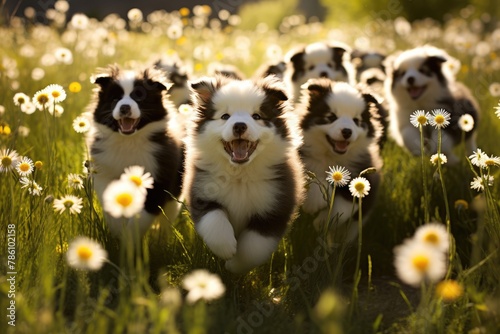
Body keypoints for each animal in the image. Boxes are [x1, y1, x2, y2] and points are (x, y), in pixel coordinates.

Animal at [86, 64, 186, 237]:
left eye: (139, 97)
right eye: (115, 99)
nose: (125, 108)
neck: (129, 141)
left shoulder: (158, 177)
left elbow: (143, 215)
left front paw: (130, 238)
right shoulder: (104, 173)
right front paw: (118, 233)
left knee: (167, 216)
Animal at [183, 74, 302, 272]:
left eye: (256, 116)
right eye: (225, 116)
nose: (239, 126)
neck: (240, 174)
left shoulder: (275, 207)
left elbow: (253, 247)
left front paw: (233, 266)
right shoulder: (202, 191)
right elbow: (214, 219)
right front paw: (226, 248)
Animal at [296, 79, 382, 244]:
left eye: (356, 121)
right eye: (331, 117)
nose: (347, 131)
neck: (332, 157)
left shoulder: (366, 175)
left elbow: (344, 205)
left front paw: (322, 221)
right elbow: (312, 178)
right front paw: (314, 203)